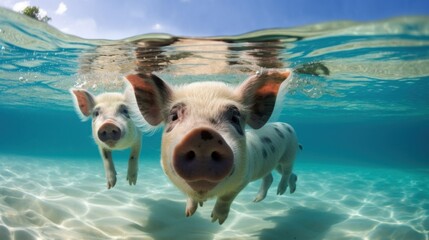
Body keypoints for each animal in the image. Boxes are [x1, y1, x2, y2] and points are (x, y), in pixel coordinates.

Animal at [123, 69, 298, 223]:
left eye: (235, 118)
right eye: (174, 116)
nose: (202, 134)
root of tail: (286, 125)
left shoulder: (243, 179)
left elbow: (226, 198)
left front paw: (216, 221)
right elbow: (191, 197)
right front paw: (188, 214)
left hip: (289, 153)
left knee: (287, 171)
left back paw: (281, 192)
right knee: (272, 176)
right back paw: (264, 198)